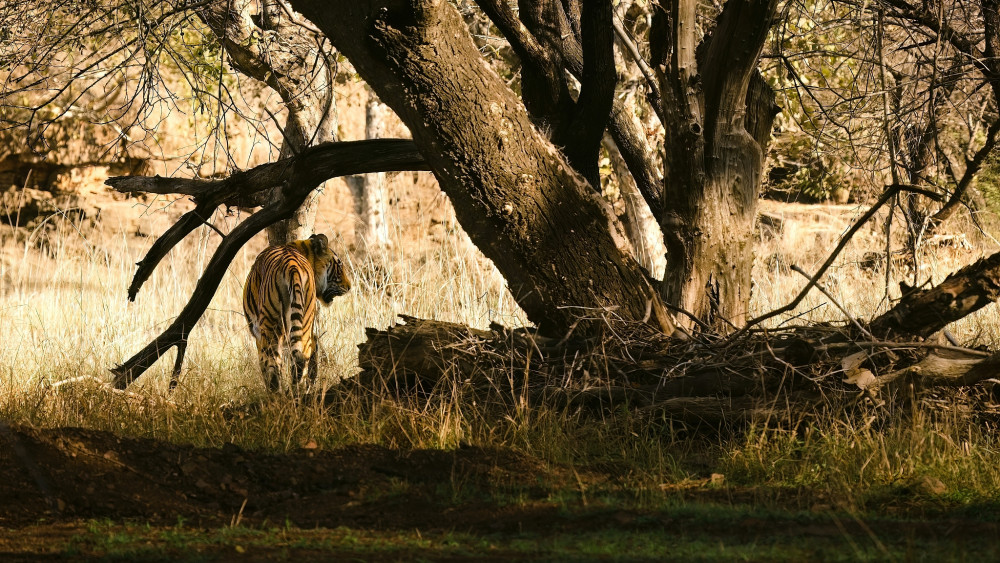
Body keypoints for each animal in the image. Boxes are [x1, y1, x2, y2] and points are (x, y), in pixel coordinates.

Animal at [242, 234, 352, 392]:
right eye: (340, 265)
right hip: (305, 321)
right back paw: (299, 393)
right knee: (300, 358)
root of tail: (291, 265)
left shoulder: (258, 334)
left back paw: (275, 395)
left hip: (270, 326)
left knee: (272, 364)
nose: (349, 287)